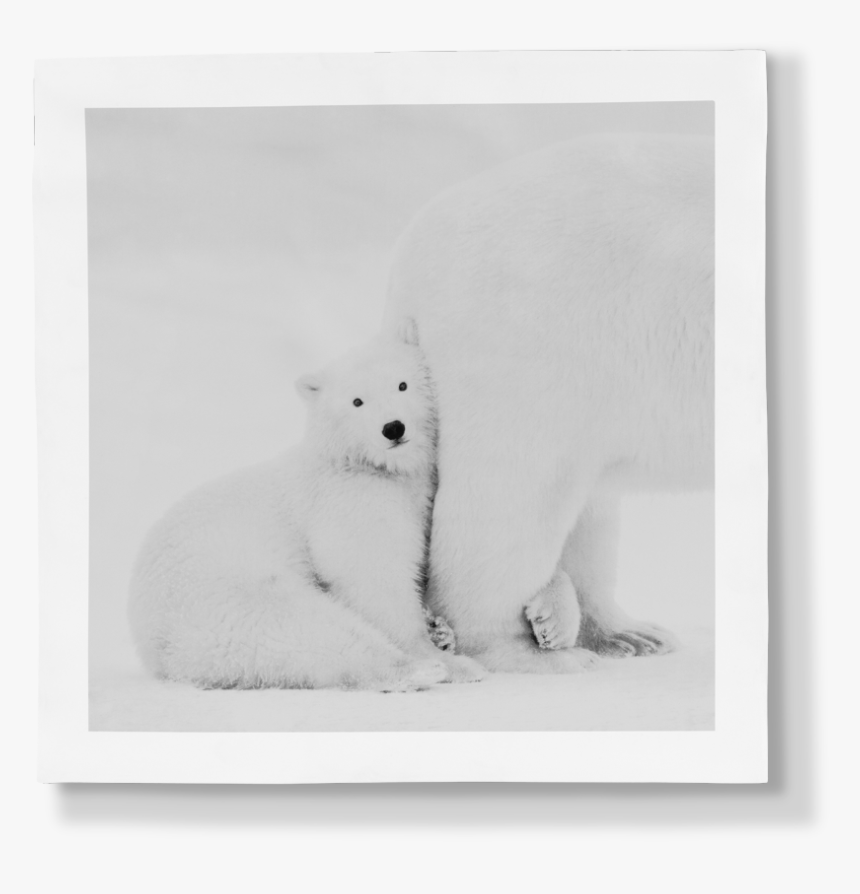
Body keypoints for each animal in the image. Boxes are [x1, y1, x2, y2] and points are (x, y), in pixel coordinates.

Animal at [128, 321, 487, 690]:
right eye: (357, 401)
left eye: (402, 384)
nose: (393, 427)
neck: (358, 464)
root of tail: (154, 648)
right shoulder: (348, 501)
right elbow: (373, 576)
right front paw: (437, 654)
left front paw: (438, 629)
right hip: (222, 592)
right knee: (306, 628)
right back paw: (421, 669)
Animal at [382, 133, 714, 674]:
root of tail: (410, 256)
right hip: (539, 346)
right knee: (510, 499)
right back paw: (532, 653)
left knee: (589, 503)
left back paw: (627, 634)